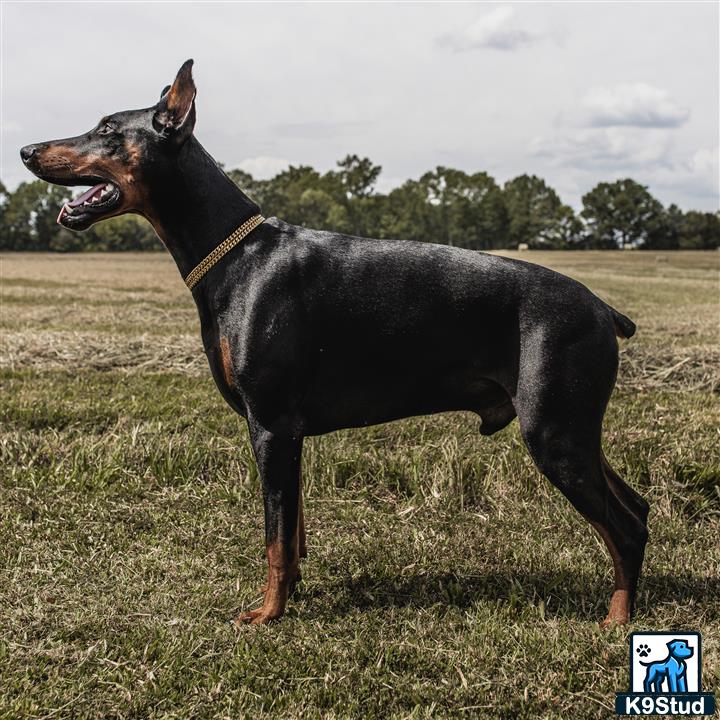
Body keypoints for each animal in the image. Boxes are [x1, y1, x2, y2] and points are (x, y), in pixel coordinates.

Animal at [22, 59, 648, 628]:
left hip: (553, 433)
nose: (27, 150)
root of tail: (603, 309)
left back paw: (617, 620)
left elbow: (274, 536)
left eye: (108, 127)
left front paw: (267, 615)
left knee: (622, 528)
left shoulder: (271, 425)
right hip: (574, 431)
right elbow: (292, 529)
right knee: (637, 512)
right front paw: (292, 595)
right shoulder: (287, 434)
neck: (236, 258)